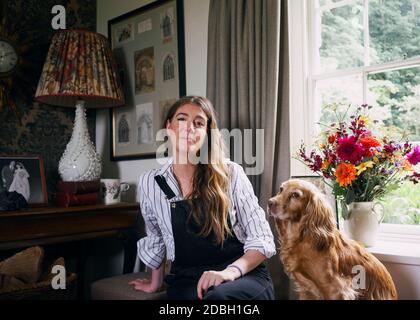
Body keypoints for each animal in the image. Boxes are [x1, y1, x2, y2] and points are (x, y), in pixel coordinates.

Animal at [270, 179, 398, 298]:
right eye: (281, 189)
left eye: (295, 195)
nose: (270, 202)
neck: (303, 238)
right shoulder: (307, 290)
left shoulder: (336, 289)